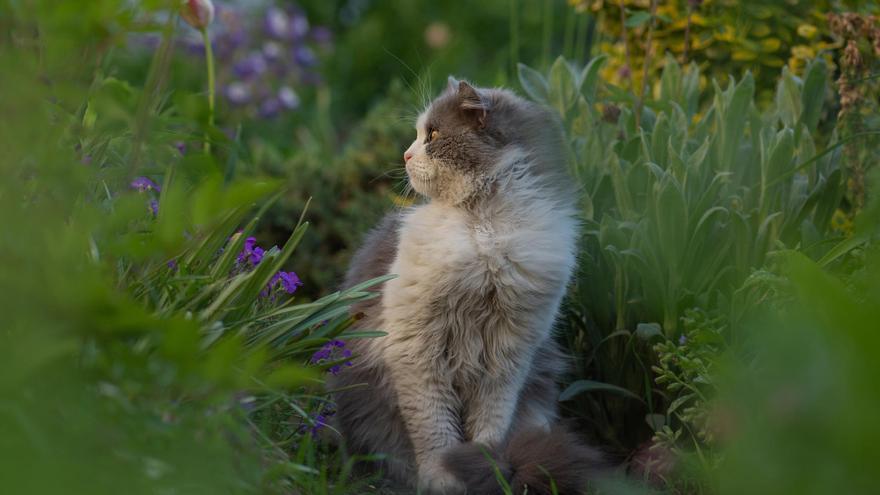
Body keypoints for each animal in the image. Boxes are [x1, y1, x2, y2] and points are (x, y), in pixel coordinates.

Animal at [330, 79, 604, 494]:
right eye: (419, 134)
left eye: (433, 135)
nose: (405, 155)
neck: (485, 232)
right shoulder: (418, 353)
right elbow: (435, 433)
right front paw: (444, 480)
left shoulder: (508, 358)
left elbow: (489, 428)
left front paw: (485, 468)